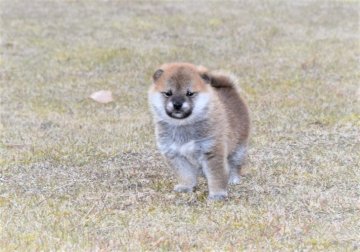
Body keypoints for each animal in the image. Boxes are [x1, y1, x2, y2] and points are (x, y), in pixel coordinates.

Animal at [148, 62, 249, 200]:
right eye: (168, 93)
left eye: (190, 93)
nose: (177, 104)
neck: (183, 125)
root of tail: (229, 88)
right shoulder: (175, 154)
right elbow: (185, 174)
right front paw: (186, 187)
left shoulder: (211, 151)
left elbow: (216, 176)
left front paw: (217, 194)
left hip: (239, 148)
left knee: (235, 164)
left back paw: (233, 179)